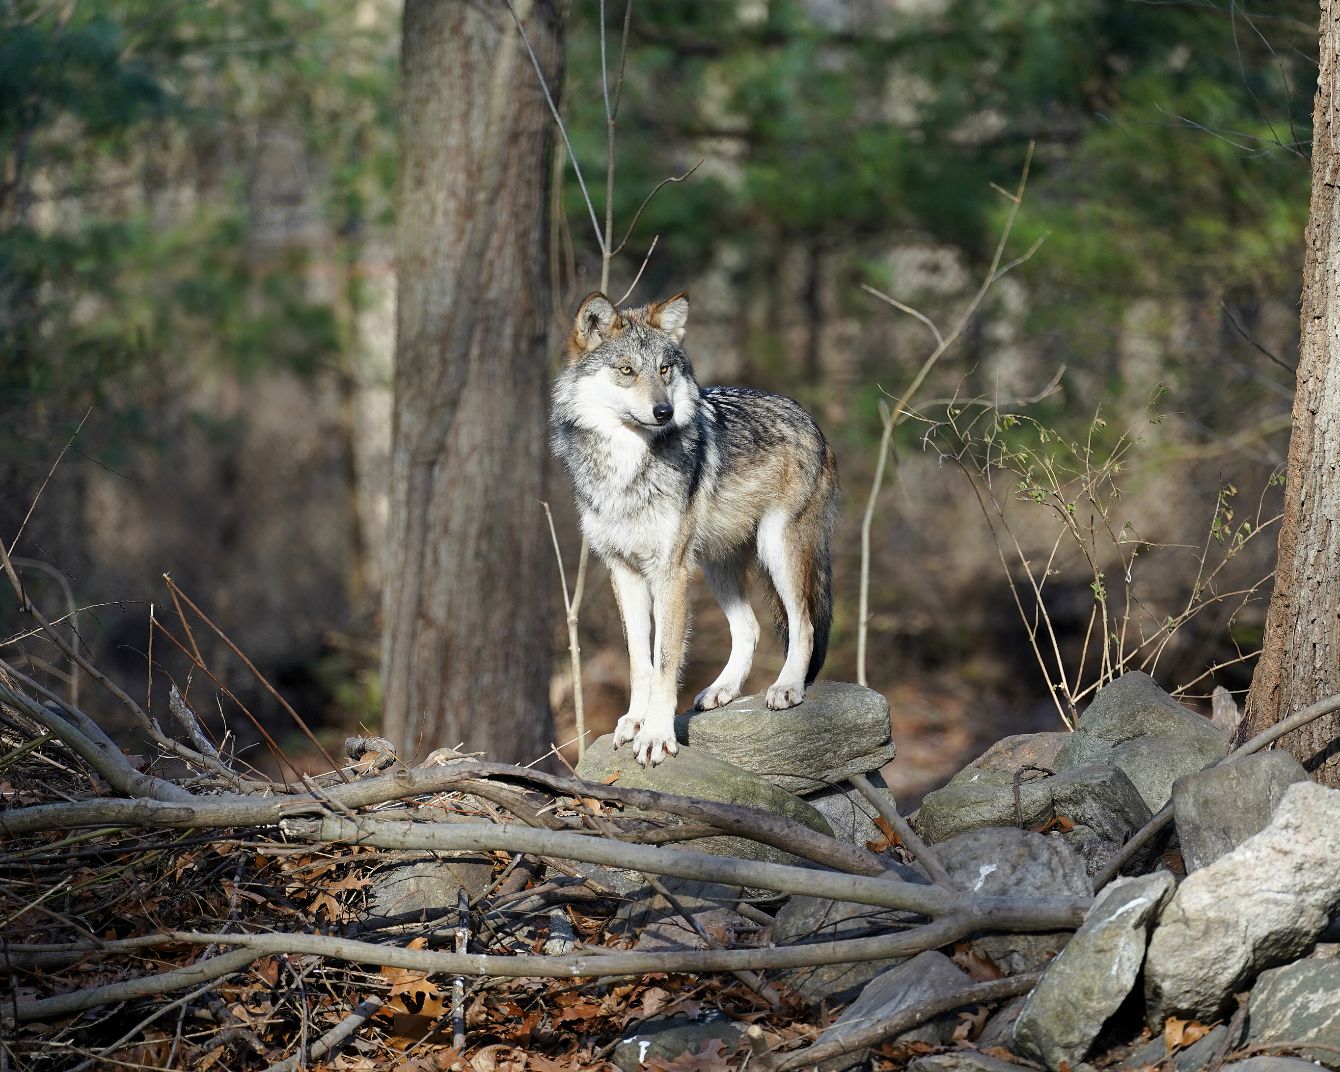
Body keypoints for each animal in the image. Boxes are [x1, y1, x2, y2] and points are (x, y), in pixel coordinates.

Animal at [551, 290, 840, 767]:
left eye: (665, 369)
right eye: (627, 370)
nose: (663, 410)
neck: (626, 469)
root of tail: (809, 417)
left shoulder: (670, 572)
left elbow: (666, 660)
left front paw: (656, 735)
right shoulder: (624, 571)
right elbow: (640, 659)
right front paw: (635, 721)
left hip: (776, 550)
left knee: (804, 624)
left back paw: (787, 687)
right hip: (715, 565)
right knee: (750, 628)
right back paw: (722, 690)